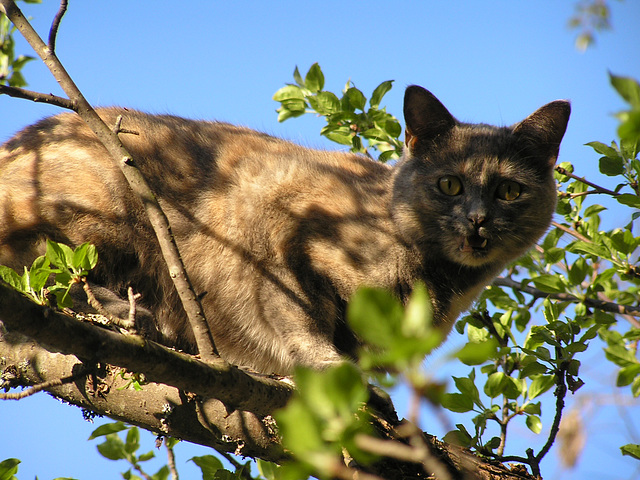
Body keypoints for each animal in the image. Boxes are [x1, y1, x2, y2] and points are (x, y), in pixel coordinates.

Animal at [0, 86, 568, 374]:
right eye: (450, 184)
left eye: (509, 190)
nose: (478, 219)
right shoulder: (276, 224)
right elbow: (297, 316)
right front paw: (324, 364)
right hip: (105, 210)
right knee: (48, 271)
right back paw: (135, 316)